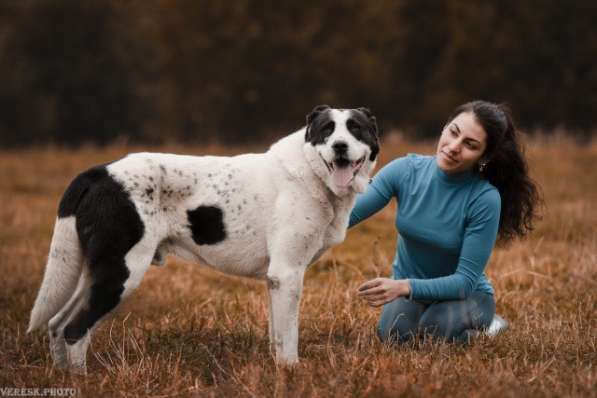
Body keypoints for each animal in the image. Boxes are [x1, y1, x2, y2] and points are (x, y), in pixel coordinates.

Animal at [26, 104, 378, 372]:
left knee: (57, 324)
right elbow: (289, 335)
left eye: (356, 129)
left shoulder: (275, 280)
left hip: (96, 272)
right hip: (121, 272)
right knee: (75, 329)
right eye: (327, 130)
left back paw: (64, 377)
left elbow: (277, 334)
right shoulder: (288, 272)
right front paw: (291, 372)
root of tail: (99, 173)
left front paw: (278, 370)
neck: (311, 170)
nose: (340, 146)